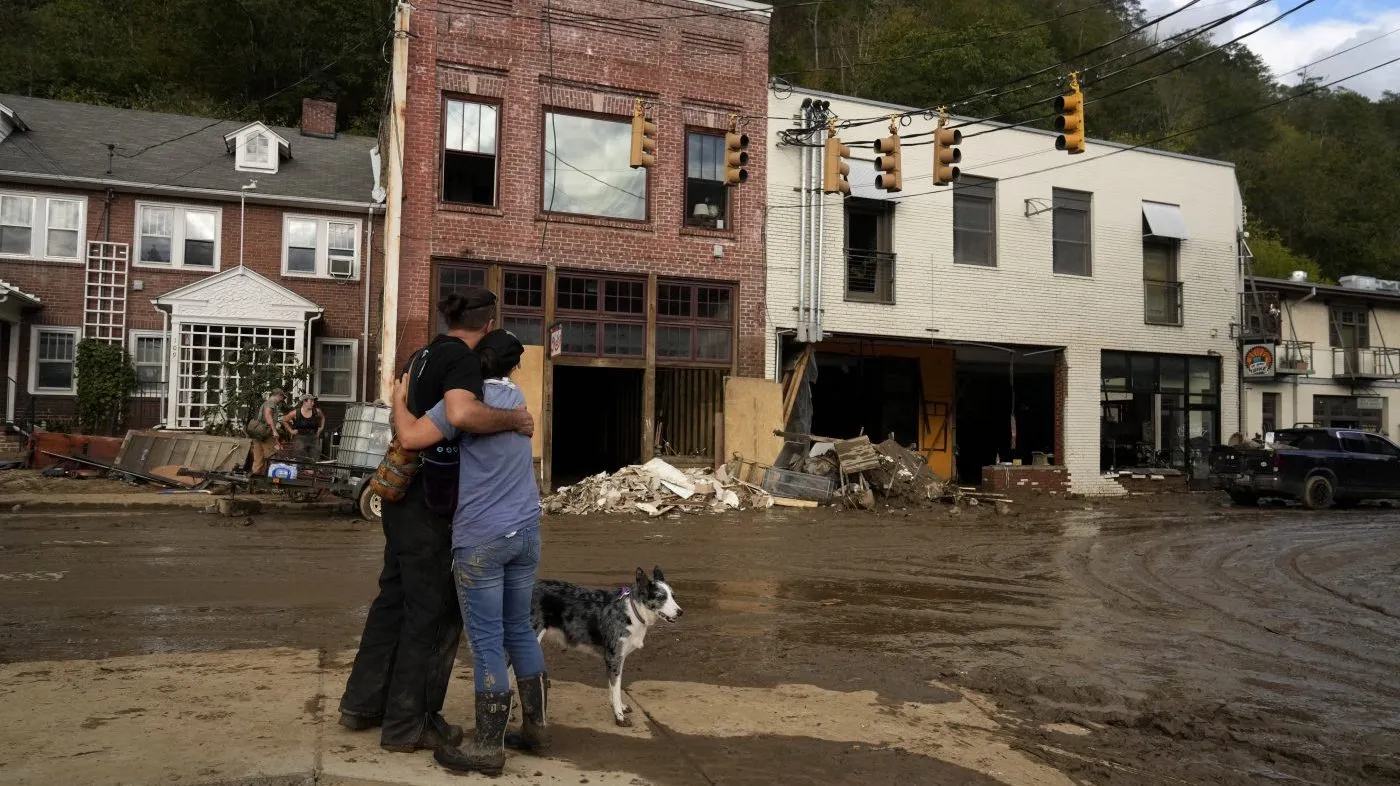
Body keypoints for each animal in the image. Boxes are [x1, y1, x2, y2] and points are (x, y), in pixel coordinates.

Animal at [529, 563, 683, 722]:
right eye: (661, 597)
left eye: (673, 596)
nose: (680, 612)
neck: (632, 611)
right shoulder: (613, 657)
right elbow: (616, 687)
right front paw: (619, 716)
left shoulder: (617, 658)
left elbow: (613, 685)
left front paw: (619, 707)